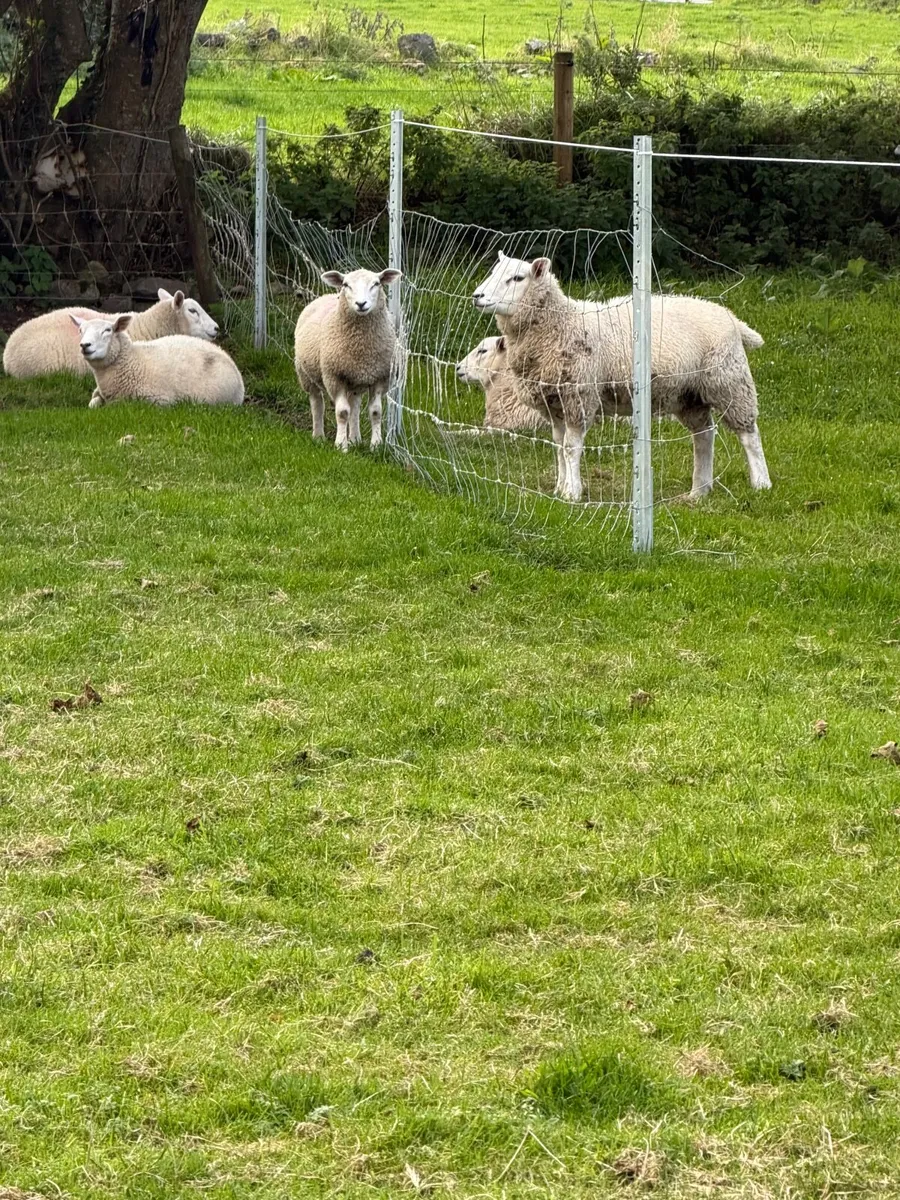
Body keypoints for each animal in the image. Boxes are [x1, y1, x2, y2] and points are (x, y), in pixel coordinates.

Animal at [294, 267, 400, 451]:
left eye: (376, 283)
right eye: (346, 285)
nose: (361, 304)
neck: (361, 348)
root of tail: (326, 295)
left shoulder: (380, 377)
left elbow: (375, 412)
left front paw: (376, 445)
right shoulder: (335, 377)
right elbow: (342, 412)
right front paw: (341, 445)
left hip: (355, 381)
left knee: (355, 405)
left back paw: (355, 438)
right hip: (306, 375)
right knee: (317, 402)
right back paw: (318, 436)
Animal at [473, 252, 771, 502]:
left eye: (517, 278)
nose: (477, 295)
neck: (561, 324)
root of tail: (729, 315)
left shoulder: (579, 396)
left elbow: (570, 447)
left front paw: (572, 492)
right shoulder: (554, 402)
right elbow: (558, 445)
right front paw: (559, 487)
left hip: (729, 380)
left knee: (749, 434)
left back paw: (761, 483)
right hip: (688, 395)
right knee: (704, 435)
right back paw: (699, 490)